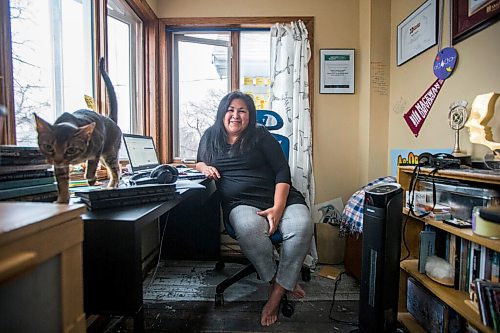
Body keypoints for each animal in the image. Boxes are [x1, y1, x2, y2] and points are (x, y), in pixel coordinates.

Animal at [35, 57, 122, 202]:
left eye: (71, 149)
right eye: (48, 147)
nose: (58, 160)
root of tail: (110, 119)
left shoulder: (97, 148)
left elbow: (91, 168)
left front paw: (92, 179)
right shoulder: (61, 167)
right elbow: (62, 183)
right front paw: (62, 200)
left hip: (108, 152)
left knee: (116, 169)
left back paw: (111, 186)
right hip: (105, 156)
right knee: (116, 167)